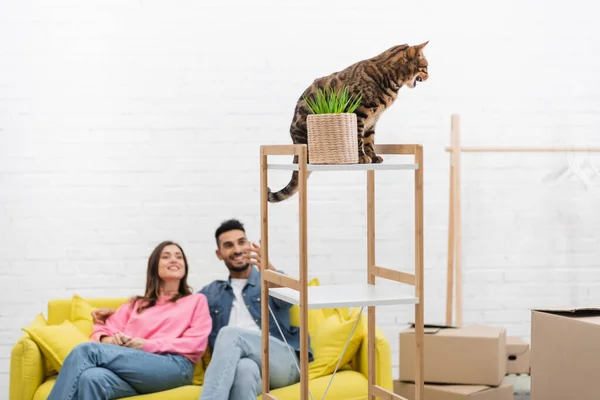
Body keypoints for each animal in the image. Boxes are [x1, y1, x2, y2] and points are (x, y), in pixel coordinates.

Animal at [270, 41, 428, 202]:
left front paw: (373, 156)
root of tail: (295, 145)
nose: (429, 76)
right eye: (426, 67)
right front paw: (361, 157)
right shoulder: (358, 112)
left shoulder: (372, 121)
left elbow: (369, 141)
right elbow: (358, 139)